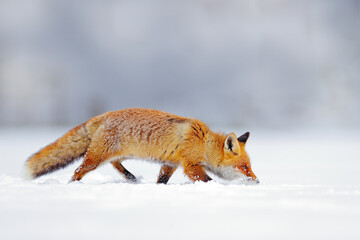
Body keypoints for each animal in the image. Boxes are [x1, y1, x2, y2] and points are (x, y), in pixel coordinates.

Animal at [26, 108, 258, 184]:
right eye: (244, 167)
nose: (257, 181)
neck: (203, 143)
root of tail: (101, 116)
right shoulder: (190, 165)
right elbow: (208, 180)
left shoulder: (170, 163)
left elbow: (161, 180)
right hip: (95, 159)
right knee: (77, 171)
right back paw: (72, 185)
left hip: (114, 154)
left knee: (116, 164)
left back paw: (130, 177)